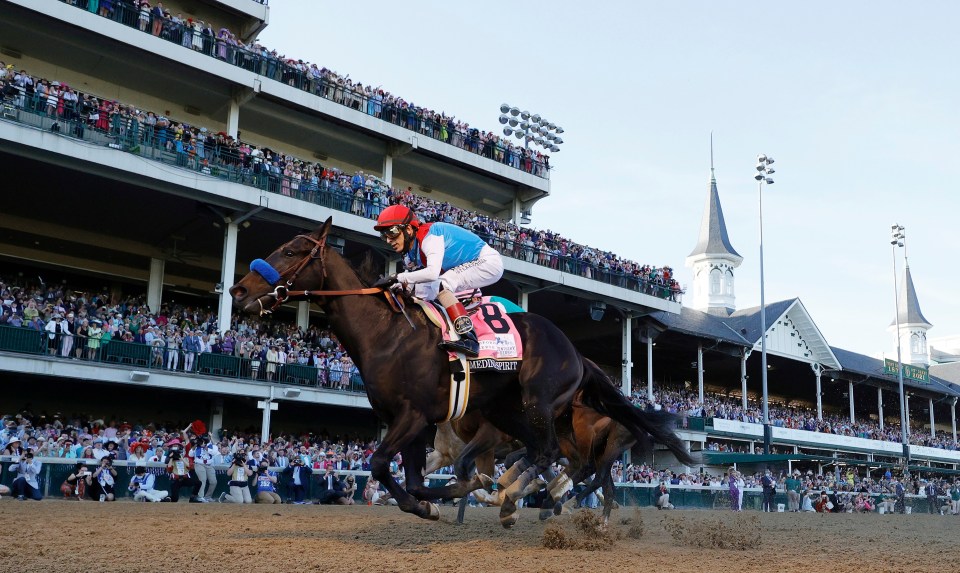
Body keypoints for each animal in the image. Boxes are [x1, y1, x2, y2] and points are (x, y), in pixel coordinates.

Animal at [228, 219, 688, 528]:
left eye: (291, 251)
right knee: (553, 458)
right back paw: (524, 496)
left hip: (539, 403)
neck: (387, 333)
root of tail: (576, 351)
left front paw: (462, 492)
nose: (239, 290)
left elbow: (380, 463)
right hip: (510, 412)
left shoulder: (414, 416)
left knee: (555, 457)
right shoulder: (411, 422)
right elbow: (411, 479)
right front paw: (431, 503)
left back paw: (522, 497)